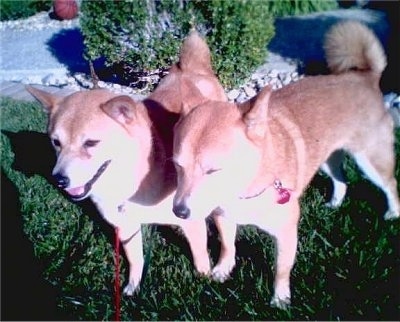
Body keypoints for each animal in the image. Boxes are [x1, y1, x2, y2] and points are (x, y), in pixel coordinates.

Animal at [26, 31, 227, 296]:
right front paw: (133, 287)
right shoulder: (126, 227)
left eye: (91, 143)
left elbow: (200, 257)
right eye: (56, 142)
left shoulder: (190, 222)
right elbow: (135, 259)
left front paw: (204, 281)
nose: (59, 179)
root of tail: (189, 67)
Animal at [172, 20, 400, 310]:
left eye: (213, 170)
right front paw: (223, 270)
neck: (245, 191)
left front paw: (280, 299)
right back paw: (335, 203)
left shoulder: (286, 231)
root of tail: (365, 78)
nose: (178, 211)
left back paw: (393, 212)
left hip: (369, 161)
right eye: (177, 167)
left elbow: (281, 269)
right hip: (325, 160)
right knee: (342, 180)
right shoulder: (223, 216)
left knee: (391, 184)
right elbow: (227, 246)